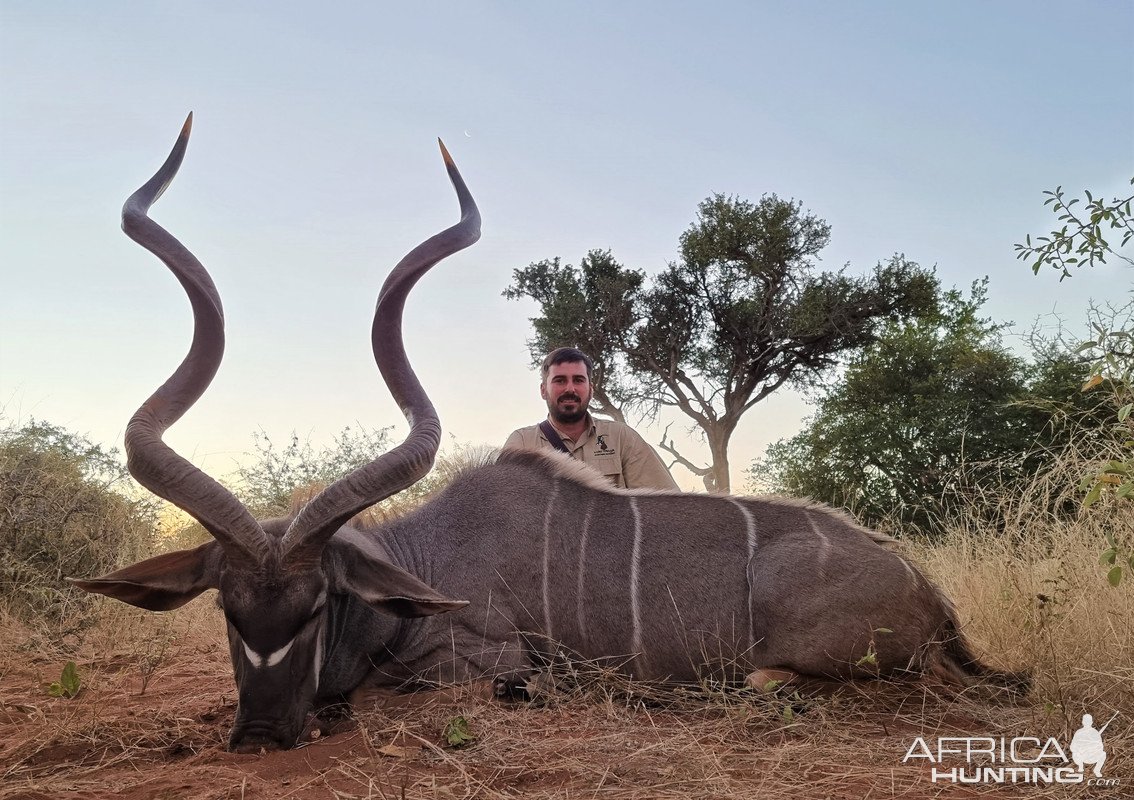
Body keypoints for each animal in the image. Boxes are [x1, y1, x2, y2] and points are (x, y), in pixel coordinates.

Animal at [73, 115, 1029, 753]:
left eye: (316, 605)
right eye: (227, 608)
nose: (264, 736)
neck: (421, 559)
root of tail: (932, 597)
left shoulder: (480, 656)